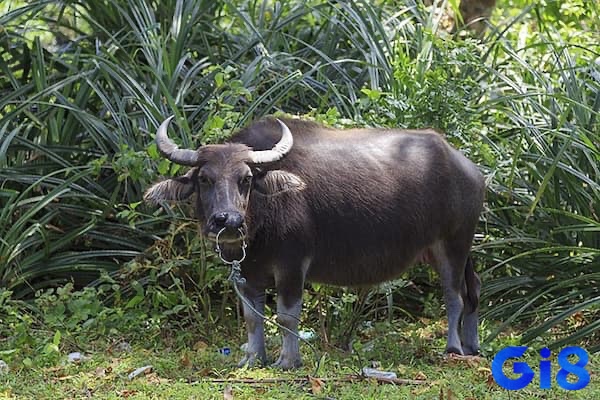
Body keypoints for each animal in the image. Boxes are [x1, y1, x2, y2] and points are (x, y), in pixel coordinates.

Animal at [144, 115, 482, 368]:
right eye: (204, 178)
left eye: (246, 178)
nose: (228, 221)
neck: (262, 221)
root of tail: (469, 169)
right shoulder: (246, 273)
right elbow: (252, 318)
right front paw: (253, 359)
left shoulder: (292, 265)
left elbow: (286, 314)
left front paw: (288, 361)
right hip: (449, 250)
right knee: (473, 290)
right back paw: (472, 345)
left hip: (454, 243)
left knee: (454, 296)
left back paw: (453, 348)